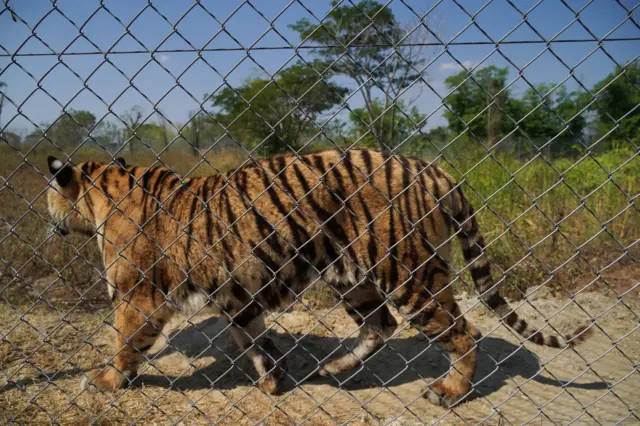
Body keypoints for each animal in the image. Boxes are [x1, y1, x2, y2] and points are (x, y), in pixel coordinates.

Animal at [46, 148, 592, 406]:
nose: (50, 220)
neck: (101, 189)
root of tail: (437, 171)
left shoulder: (137, 295)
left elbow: (125, 343)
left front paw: (104, 380)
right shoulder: (238, 294)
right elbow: (254, 340)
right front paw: (273, 380)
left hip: (409, 273)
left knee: (464, 332)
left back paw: (448, 392)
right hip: (354, 275)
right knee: (380, 325)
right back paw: (333, 369)